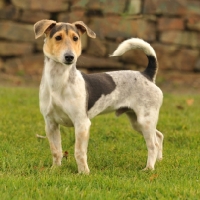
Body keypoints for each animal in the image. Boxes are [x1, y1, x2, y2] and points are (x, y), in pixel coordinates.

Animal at [33, 19, 163, 174]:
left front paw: (84, 173)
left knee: (153, 145)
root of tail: (147, 75)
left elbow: (79, 152)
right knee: (159, 136)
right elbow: (56, 150)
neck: (58, 81)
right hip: (137, 122)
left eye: (75, 38)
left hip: (145, 121)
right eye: (58, 37)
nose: (70, 57)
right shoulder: (51, 124)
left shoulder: (81, 123)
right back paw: (159, 161)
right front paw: (55, 169)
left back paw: (149, 168)